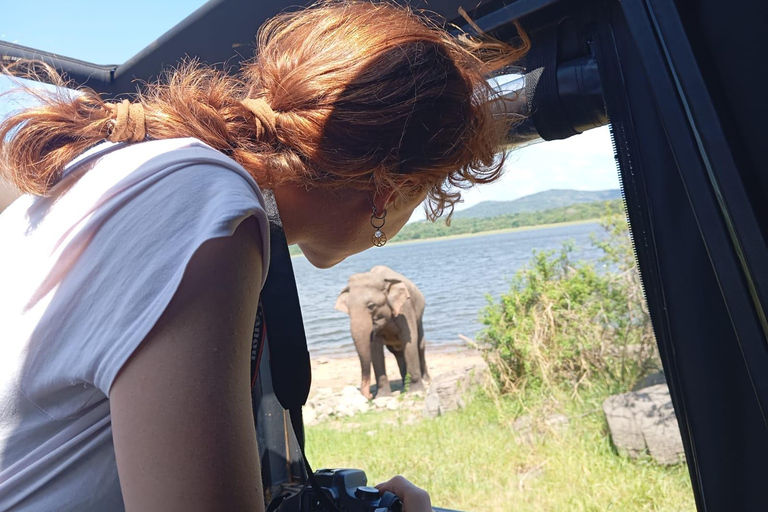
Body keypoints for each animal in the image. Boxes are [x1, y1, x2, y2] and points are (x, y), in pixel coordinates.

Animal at [336, 266, 432, 398]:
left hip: (419, 316)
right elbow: (375, 349)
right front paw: (382, 396)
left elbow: (409, 342)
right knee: (398, 353)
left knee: (420, 345)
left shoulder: (405, 309)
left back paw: (426, 380)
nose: (369, 395)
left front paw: (415, 391)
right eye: (348, 309)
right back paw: (404, 386)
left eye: (371, 306)